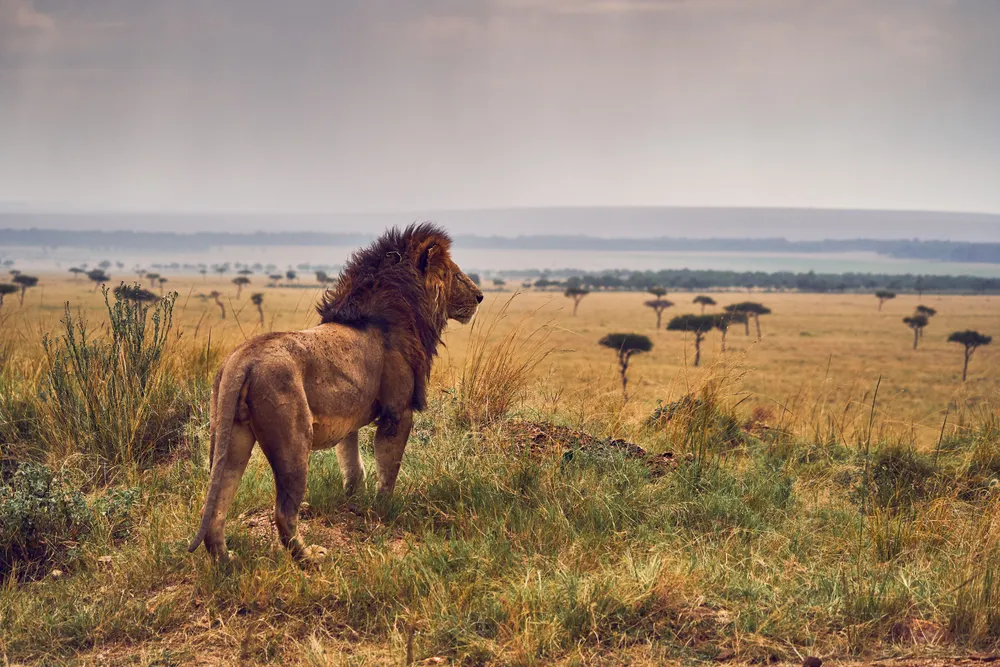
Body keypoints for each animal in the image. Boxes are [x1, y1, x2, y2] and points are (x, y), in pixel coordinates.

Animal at [188, 223, 482, 563]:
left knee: (218, 503)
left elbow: (353, 466)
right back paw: (310, 558)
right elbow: (388, 469)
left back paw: (226, 560)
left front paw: (354, 503)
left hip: (231, 437)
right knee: (283, 512)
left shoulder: (348, 420)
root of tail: (243, 359)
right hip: (293, 442)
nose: (480, 296)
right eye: (452, 273)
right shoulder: (398, 411)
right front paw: (384, 509)